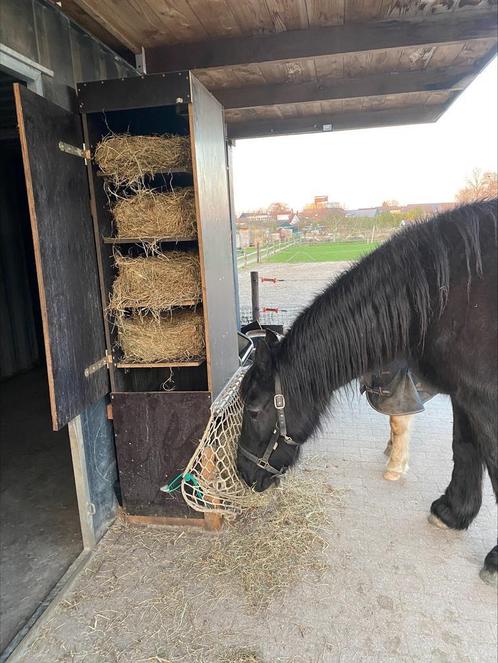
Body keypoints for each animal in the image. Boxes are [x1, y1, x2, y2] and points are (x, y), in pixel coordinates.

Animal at [238, 200, 498, 584]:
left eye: (254, 410)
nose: (243, 472)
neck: (450, 295)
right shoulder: (464, 393)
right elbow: (465, 447)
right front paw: (453, 512)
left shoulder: (484, 398)